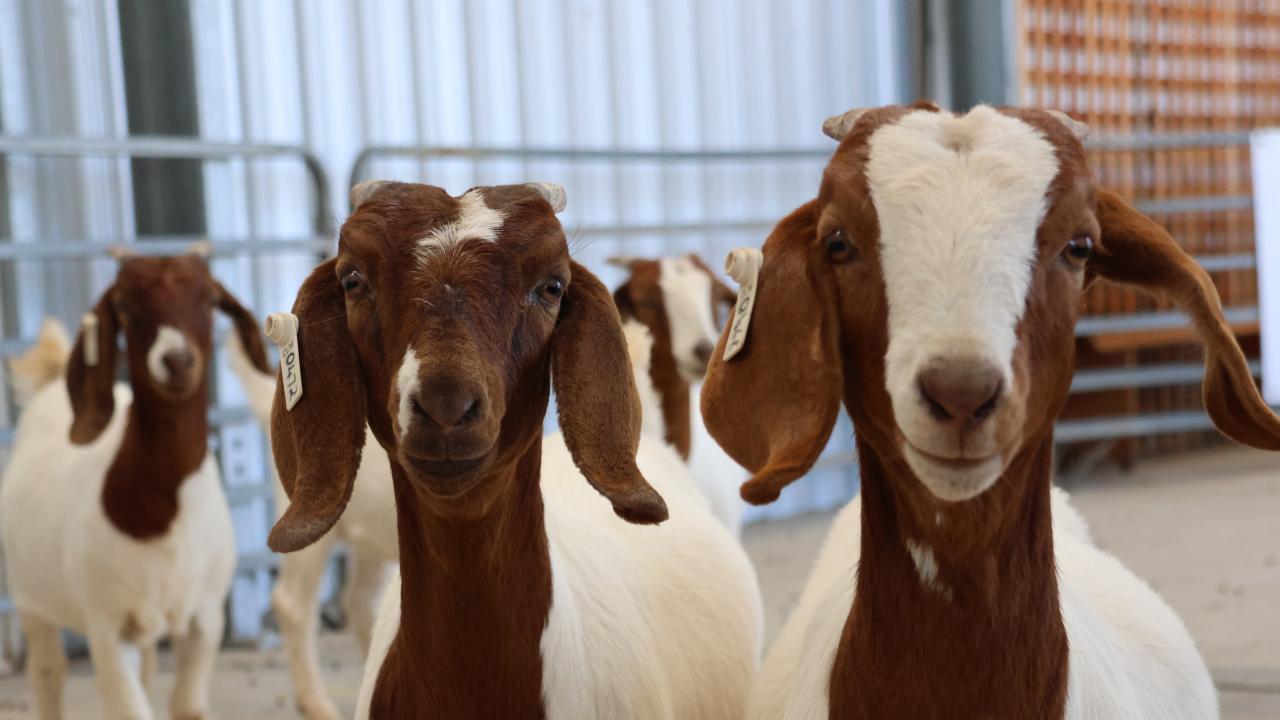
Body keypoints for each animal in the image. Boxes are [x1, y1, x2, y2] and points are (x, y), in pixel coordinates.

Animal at [0, 245, 271, 720]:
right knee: (48, 673)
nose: (176, 361)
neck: (163, 517)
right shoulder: (107, 626)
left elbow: (187, 705)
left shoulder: (205, 619)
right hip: (33, 602)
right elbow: (129, 707)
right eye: (125, 306)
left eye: (209, 299)